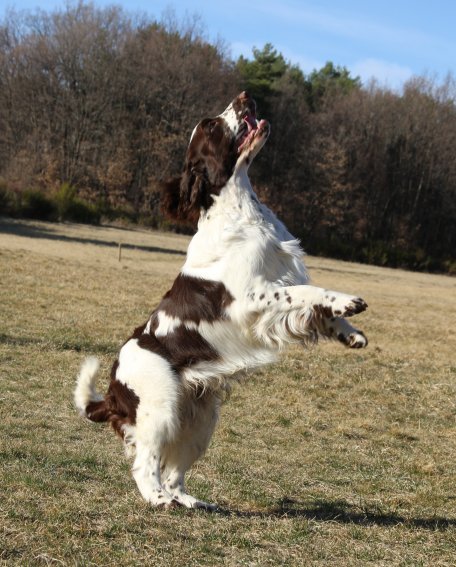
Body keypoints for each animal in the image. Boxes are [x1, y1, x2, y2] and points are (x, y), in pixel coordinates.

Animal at [74, 91, 368, 509]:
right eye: (212, 125)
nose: (244, 96)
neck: (241, 208)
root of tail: (114, 389)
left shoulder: (282, 281)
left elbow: (315, 307)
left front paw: (350, 333)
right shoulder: (252, 299)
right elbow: (308, 294)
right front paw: (348, 302)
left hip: (200, 420)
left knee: (175, 470)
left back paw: (190, 501)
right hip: (160, 408)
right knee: (145, 463)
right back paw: (158, 500)